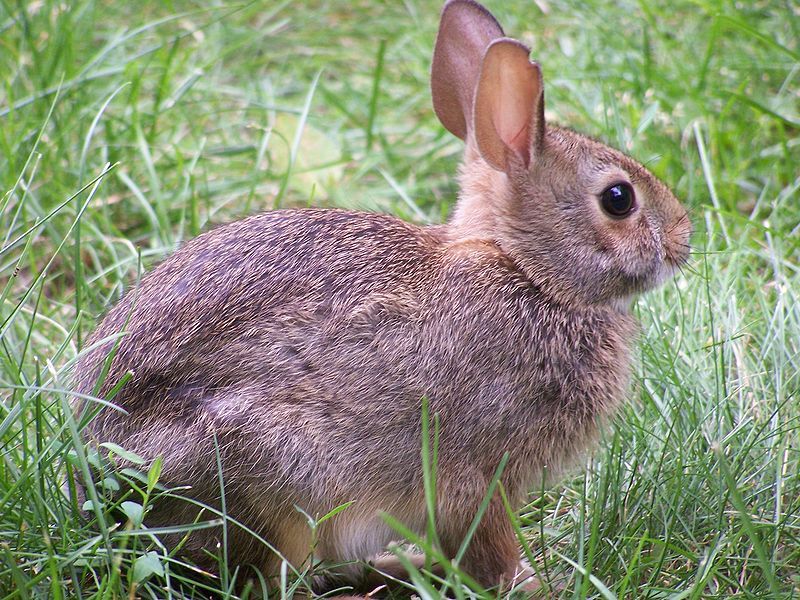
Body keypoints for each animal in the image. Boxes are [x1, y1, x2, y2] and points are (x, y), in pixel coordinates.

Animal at [72, 0, 692, 596]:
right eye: (619, 199)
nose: (684, 239)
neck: (528, 272)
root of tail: (98, 485)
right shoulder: (475, 474)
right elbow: (488, 548)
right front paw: (536, 587)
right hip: (272, 477)